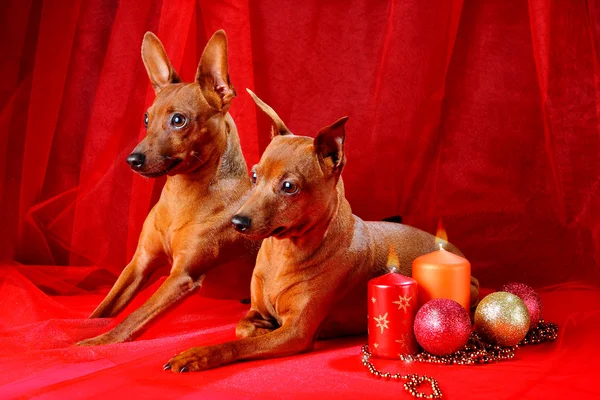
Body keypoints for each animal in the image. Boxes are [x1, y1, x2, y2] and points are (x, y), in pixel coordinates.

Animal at [77, 31, 258, 346]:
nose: (132, 160)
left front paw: (95, 344)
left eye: (178, 120)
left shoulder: (181, 278)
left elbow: (131, 320)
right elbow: (103, 310)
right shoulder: (139, 264)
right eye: (146, 118)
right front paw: (84, 329)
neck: (180, 198)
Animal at [163, 90, 478, 372]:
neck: (284, 253)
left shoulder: (296, 333)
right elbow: (244, 327)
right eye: (254, 176)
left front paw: (198, 355)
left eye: (289, 187)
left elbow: (237, 344)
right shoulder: (257, 312)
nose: (237, 222)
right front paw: (259, 327)